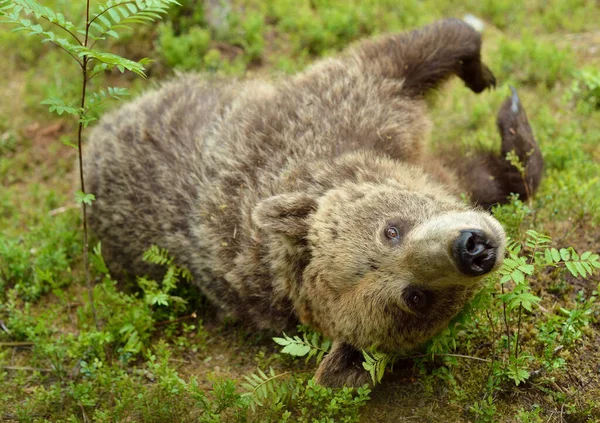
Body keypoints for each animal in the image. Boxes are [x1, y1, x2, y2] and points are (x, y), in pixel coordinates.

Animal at [84, 19, 544, 388]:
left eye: (390, 230)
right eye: (415, 298)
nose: (473, 248)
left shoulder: (348, 116)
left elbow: (412, 56)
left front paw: (489, 84)